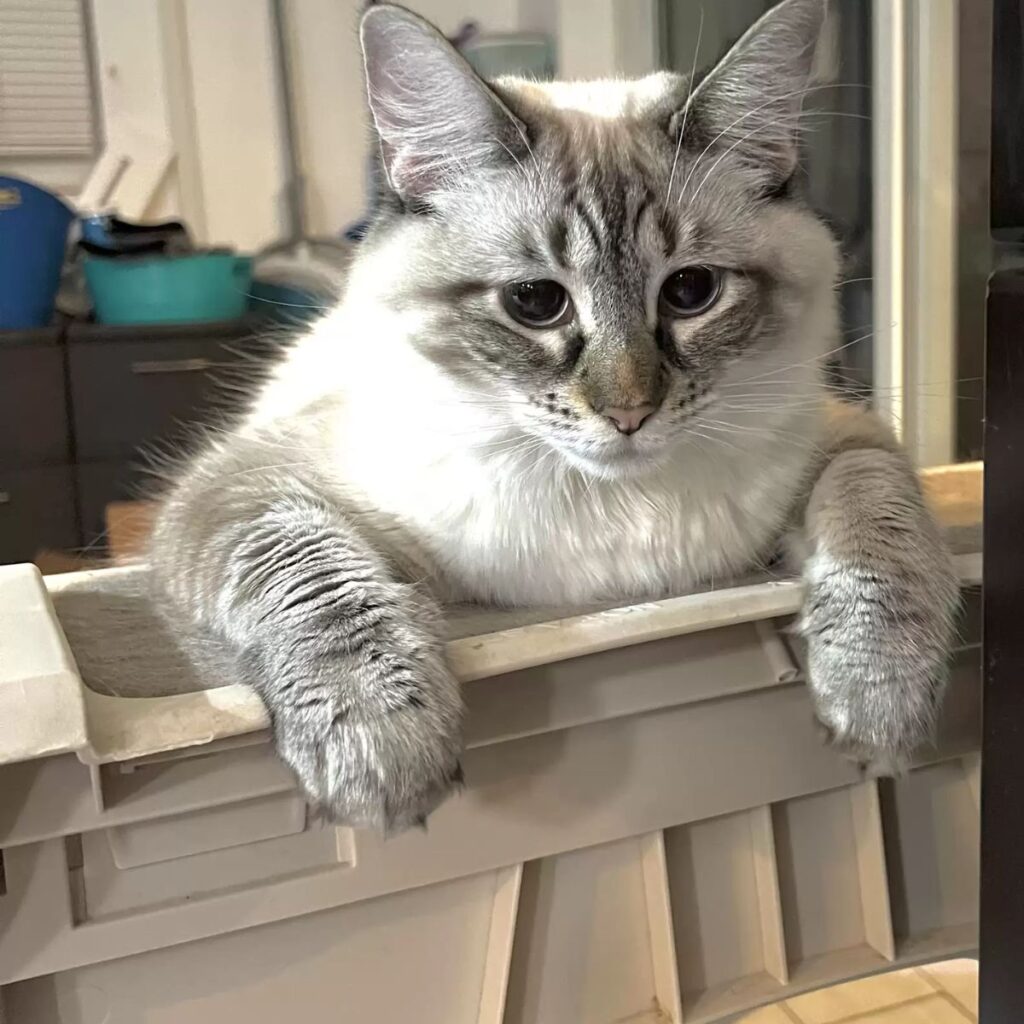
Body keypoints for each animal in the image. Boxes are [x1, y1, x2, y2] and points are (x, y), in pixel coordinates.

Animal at [146, 0, 958, 831]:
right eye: (536, 302)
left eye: (691, 291)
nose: (629, 411)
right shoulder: (244, 488)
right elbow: (314, 576)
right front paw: (381, 747)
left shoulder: (849, 441)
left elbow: (877, 526)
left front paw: (879, 706)